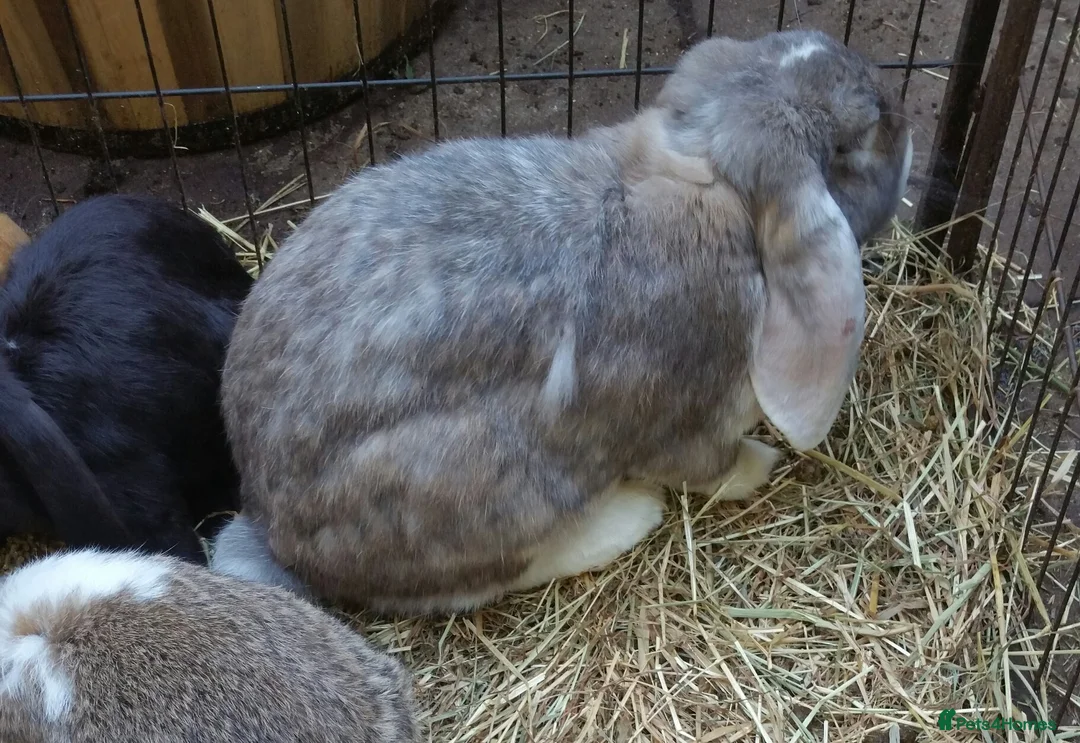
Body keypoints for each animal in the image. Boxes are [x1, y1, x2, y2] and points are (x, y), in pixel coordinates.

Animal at [210, 29, 913, 615]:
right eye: (861, 137)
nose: (898, 114)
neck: (707, 184)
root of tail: (272, 530)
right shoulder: (694, 420)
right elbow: (712, 468)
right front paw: (761, 464)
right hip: (490, 487)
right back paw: (628, 517)